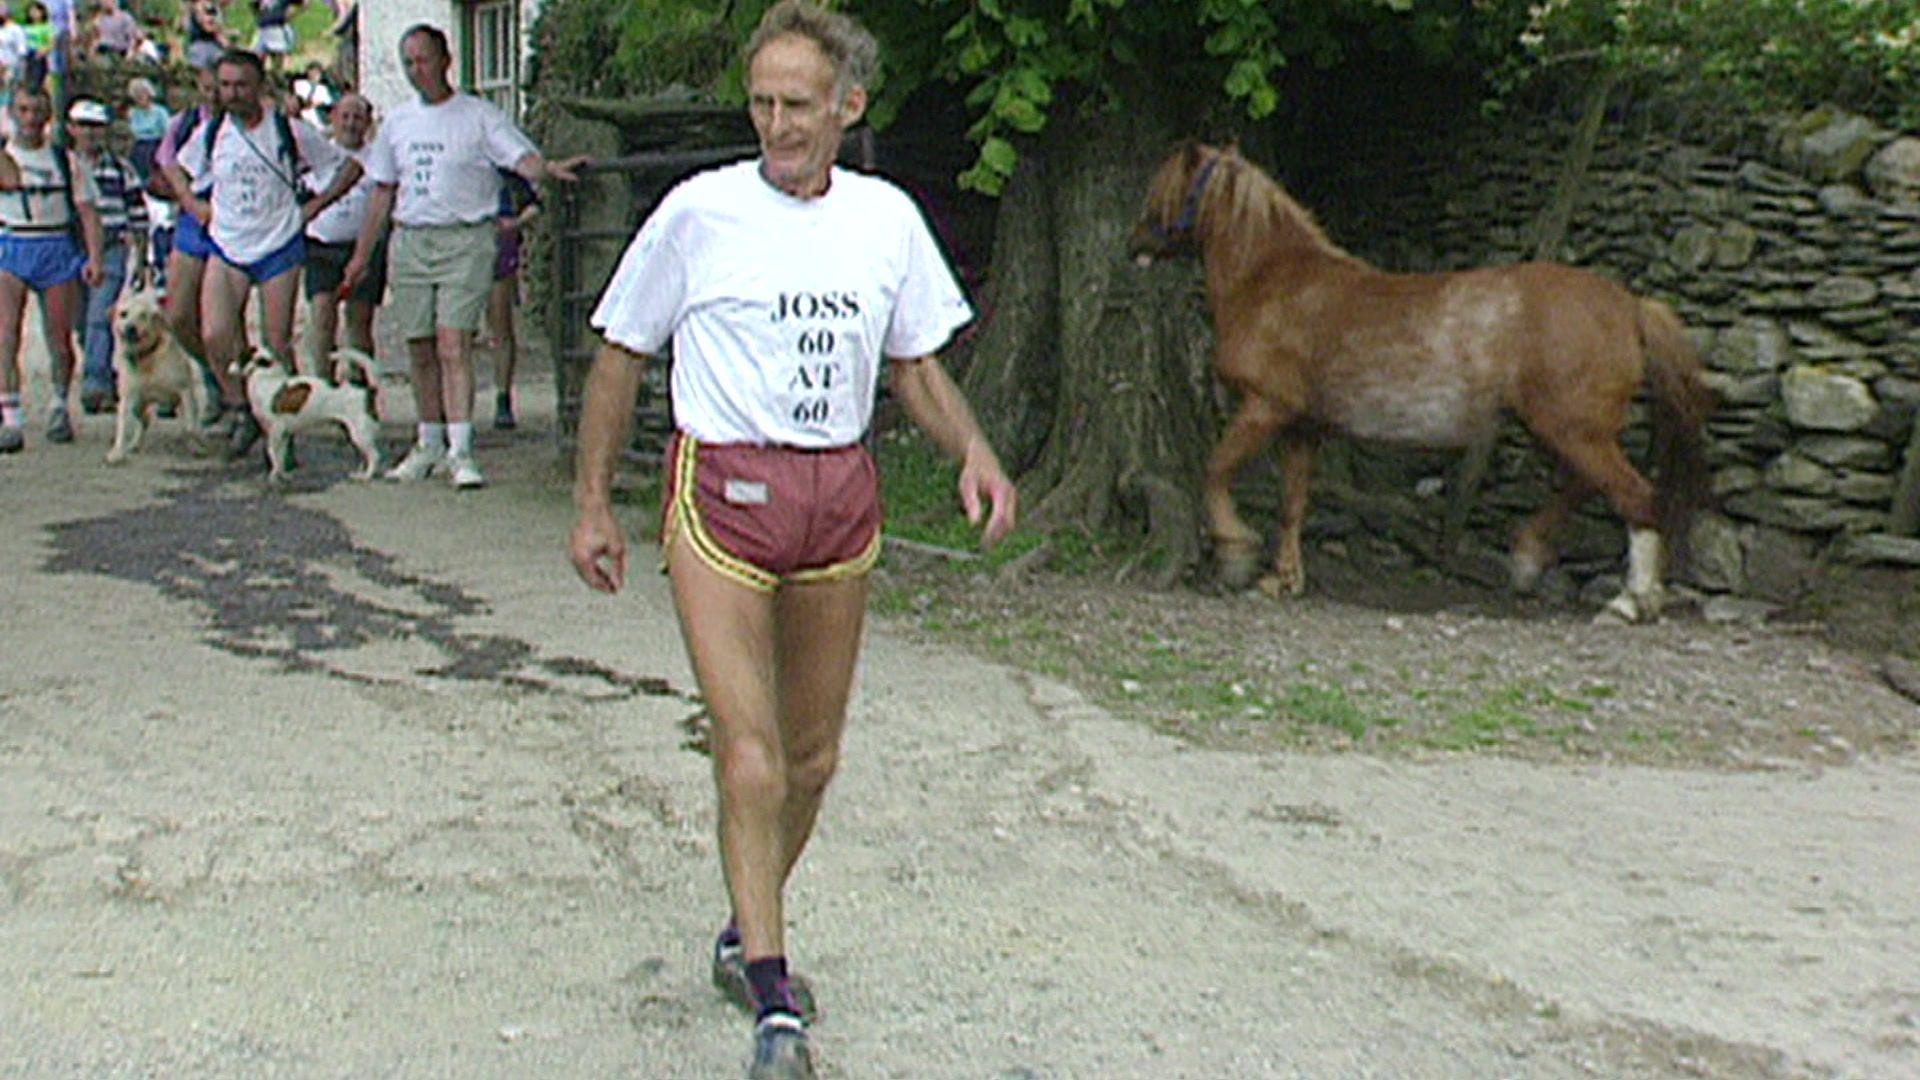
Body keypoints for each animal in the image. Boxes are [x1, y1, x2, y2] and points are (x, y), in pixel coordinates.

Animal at [104, 284, 213, 461]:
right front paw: (118, 452)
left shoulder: (184, 390)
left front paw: (196, 443)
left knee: (193, 421)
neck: (146, 357)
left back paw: (195, 442)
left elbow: (190, 426)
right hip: (138, 405)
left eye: (143, 315)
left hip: (195, 395)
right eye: (123, 314)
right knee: (144, 421)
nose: (130, 328)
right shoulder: (127, 398)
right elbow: (122, 426)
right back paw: (135, 443)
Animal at [1121, 141, 1712, 622]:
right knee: (1584, 485)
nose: (1133, 243)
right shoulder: (1301, 427)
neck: (1274, 284)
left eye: (1166, 187)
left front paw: (1235, 551)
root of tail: (1630, 306)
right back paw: (1530, 557)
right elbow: (1293, 503)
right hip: (1564, 429)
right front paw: (1283, 578)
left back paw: (1631, 600)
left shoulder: (1264, 407)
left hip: (1572, 428)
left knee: (1633, 495)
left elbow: (1215, 469)